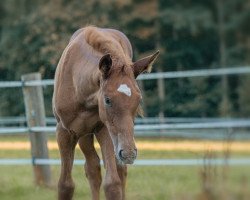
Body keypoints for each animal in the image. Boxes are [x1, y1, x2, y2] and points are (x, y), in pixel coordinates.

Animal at [53, 26, 159, 200]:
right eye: (107, 100)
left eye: (139, 99)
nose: (129, 154)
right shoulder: (64, 132)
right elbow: (65, 185)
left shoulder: (105, 130)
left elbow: (112, 184)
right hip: (85, 135)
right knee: (92, 168)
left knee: (119, 170)